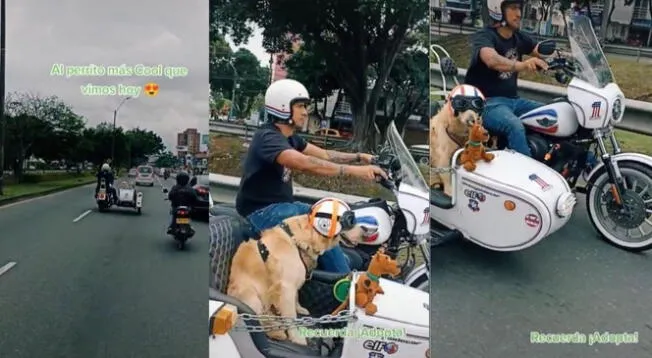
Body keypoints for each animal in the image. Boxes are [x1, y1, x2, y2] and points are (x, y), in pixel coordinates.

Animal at [227, 197, 364, 346]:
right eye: (351, 220)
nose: (365, 230)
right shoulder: (286, 286)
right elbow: (291, 316)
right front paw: (296, 337)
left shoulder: (293, 283)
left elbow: (296, 298)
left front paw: (299, 308)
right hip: (251, 296)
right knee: (259, 319)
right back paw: (277, 332)